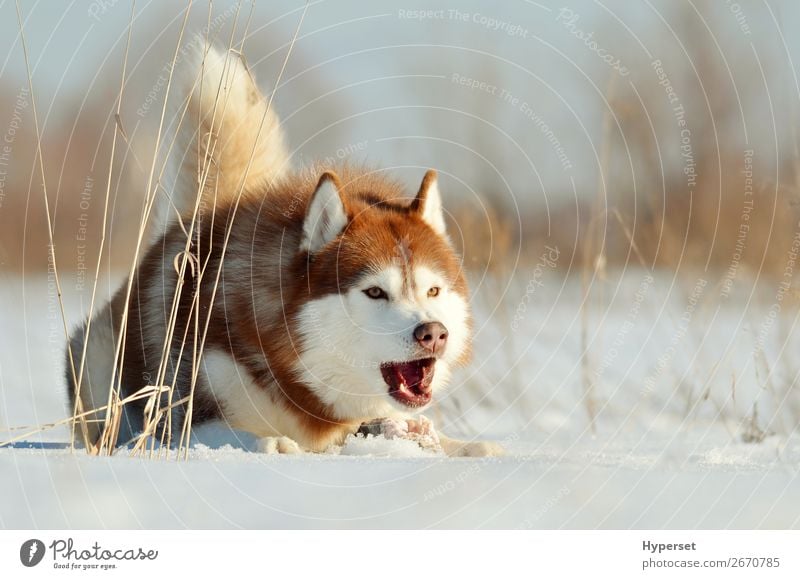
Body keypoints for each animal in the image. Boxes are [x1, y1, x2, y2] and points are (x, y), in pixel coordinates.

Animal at [65, 45, 500, 458]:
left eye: (433, 291)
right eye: (375, 292)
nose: (434, 333)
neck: (296, 368)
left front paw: (474, 446)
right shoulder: (185, 408)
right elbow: (231, 433)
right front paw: (271, 443)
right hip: (97, 360)